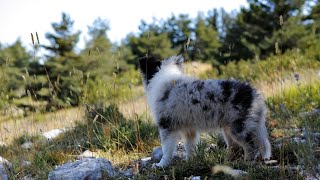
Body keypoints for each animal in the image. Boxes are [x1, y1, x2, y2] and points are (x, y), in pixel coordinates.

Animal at [139, 55, 272, 167]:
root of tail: (255, 94)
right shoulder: (189, 129)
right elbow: (190, 146)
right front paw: (190, 161)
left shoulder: (166, 126)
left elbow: (166, 149)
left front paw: (161, 165)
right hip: (229, 128)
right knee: (237, 147)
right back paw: (228, 160)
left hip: (238, 128)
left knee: (250, 146)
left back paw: (246, 162)